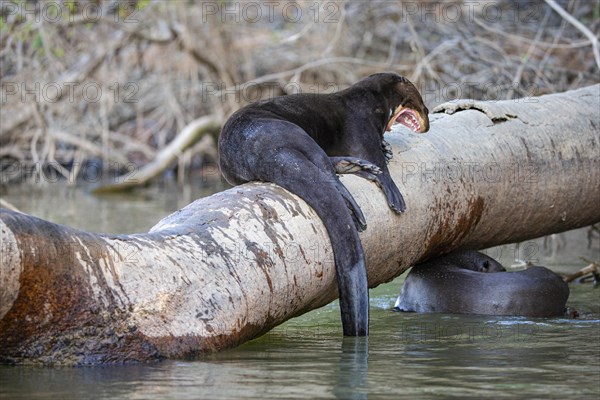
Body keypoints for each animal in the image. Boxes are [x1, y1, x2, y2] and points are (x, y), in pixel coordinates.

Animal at [218, 73, 428, 336]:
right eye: (420, 99)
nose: (428, 111)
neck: (372, 101)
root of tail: (255, 150)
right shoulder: (362, 126)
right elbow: (376, 159)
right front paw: (393, 191)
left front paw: (387, 149)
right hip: (293, 132)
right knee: (326, 170)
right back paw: (354, 196)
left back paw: (355, 167)